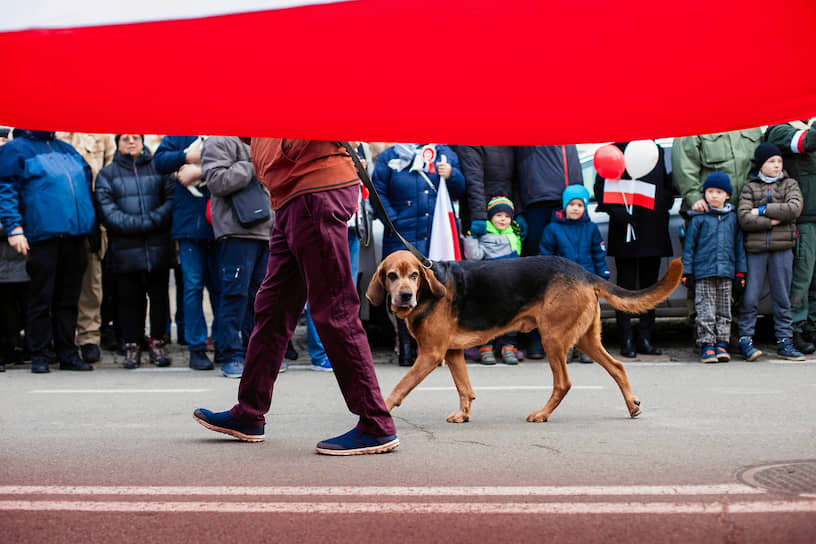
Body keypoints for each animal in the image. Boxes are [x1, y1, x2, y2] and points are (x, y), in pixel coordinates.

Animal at [364, 251, 684, 424]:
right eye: (391, 276)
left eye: (414, 275)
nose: (405, 296)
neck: (430, 292)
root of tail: (584, 272)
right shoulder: (452, 353)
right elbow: (464, 389)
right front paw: (464, 414)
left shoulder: (430, 355)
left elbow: (399, 388)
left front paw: (382, 411)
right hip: (586, 339)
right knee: (617, 367)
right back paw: (632, 405)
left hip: (553, 338)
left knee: (564, 383)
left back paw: (542, 414)